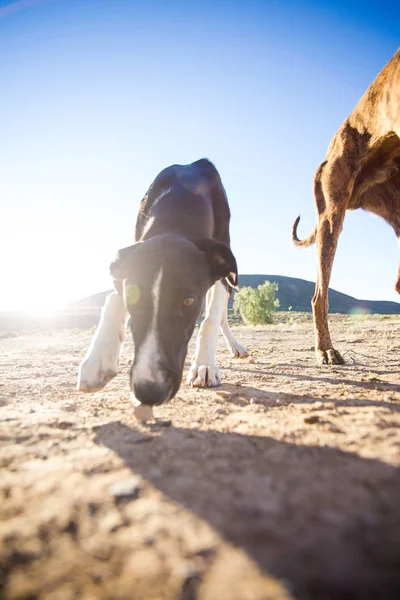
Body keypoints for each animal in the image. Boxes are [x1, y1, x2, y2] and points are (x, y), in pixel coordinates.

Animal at [77, 159, 247, 410]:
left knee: (221, 313)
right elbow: (112, 298)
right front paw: (97, 359)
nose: (148, 391)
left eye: (189, 301)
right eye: (133, 297)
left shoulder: (222, 259)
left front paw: (205, 365)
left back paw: (233, 347)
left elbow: (211, 319)